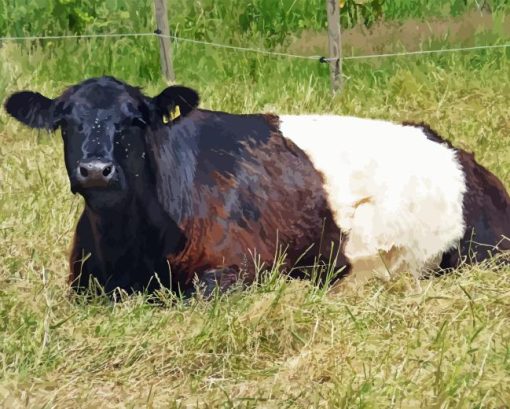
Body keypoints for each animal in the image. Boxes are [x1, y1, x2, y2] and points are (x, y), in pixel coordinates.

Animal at [3, 75, 510, 294]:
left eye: (136, 120)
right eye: (65, 122)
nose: (95, 169)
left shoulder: (241, 267)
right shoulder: (83, 282)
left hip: (480, 252)